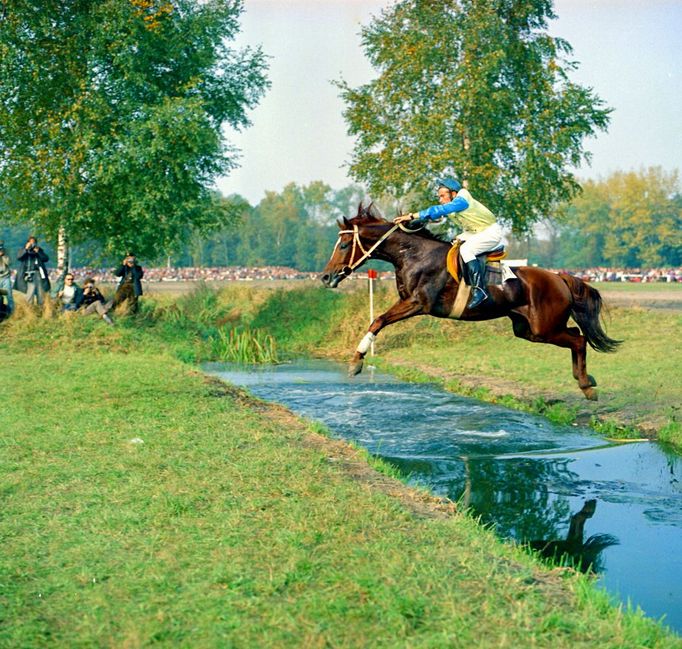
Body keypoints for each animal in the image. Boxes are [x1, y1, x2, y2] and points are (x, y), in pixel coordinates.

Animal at [316, 202, 620, 398]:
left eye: (344, 244)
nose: (326, 277)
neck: (413, 255)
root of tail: (560, 278)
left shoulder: (418, 304)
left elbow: (377, 321)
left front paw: (356, 361)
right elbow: (377, 321)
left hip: (544, 327)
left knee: (579, 340)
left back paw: (586, 386)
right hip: (530, 330)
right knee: (576, 335)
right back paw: (585, 379)